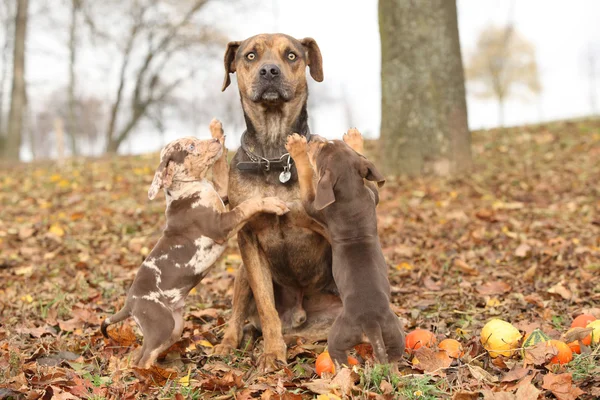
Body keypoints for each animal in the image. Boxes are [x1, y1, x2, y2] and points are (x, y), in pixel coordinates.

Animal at [102, 121, 290, 368]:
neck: (190, 188)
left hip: (174, 326)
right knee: (143, 359)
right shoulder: (220, 225)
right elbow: (248, 205)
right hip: (161, 325)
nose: (215, 141)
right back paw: (152, 374)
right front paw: (272, 202)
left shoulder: (222, 194)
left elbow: (221, 171)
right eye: (191, 146)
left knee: (143, 353)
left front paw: (218, 131)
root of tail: (130, 304)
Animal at [211, 32, 364, 370]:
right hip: (242, 274)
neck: (273, 155)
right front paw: (271, 353)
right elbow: (266, 308)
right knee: (242, 316)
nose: (270, 71)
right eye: (251, 55)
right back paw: (230, 343)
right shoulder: (249, 239)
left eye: (292, 55)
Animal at [284, 131, 406, 368]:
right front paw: (355, 139)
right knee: (395, 353)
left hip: (339, 334)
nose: (313, 137)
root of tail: (370, 323)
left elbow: (306, 178)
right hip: (394, 330)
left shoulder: (313, 206)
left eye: (320, 149)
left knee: (337, 354)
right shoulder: (372, 194)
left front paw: (297, 147)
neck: (350, 194)